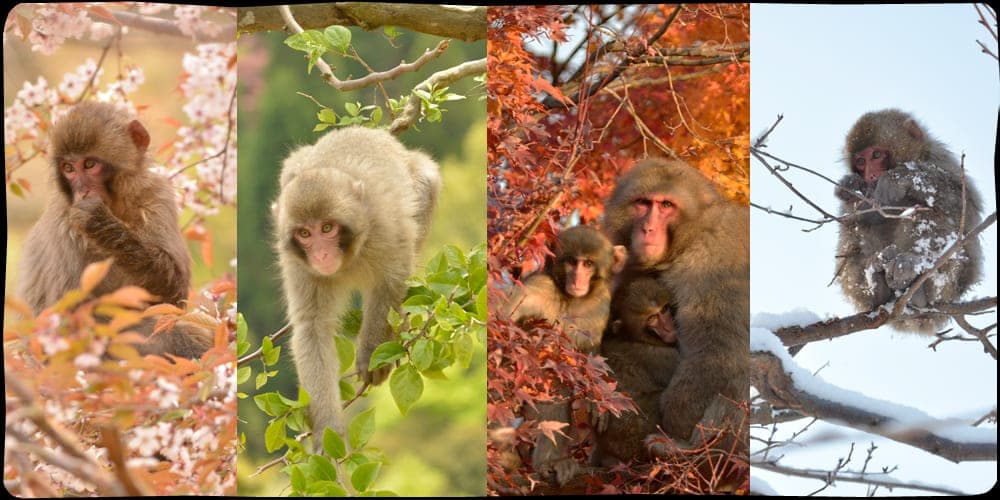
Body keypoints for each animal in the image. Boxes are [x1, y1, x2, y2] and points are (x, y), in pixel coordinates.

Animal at [15, 101, 211, 359]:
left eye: (89, 164)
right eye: (68, 168)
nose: (83, 192)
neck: (118, 207)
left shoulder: (159, 196)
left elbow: (173, 296)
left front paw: (100, 223)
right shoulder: (64, 224)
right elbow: (64, 322)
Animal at [273, 126, 441, 442]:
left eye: (327, 228)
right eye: (305, 233)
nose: (322, 255)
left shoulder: (386, 226)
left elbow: (391, 281)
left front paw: (371, 352)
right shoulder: (300, 265)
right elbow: (313, 327)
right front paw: (327, 430)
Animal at [603, 158, 749, 448]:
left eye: (666, 205)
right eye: (643, 203)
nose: (647, 228)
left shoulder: (710, 262)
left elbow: (717, 350)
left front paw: (676, 429)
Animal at [834, 109, 984, 335]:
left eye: (876, 155)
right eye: (860, 162)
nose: (871, 175)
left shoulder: (939, 159)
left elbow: (963, 203)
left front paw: (898, 178)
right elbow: (857, 218)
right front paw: (852, 186)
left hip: (953, 283)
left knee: (925, 212)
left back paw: (911, 271)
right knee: (855, 233)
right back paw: (875, 285)